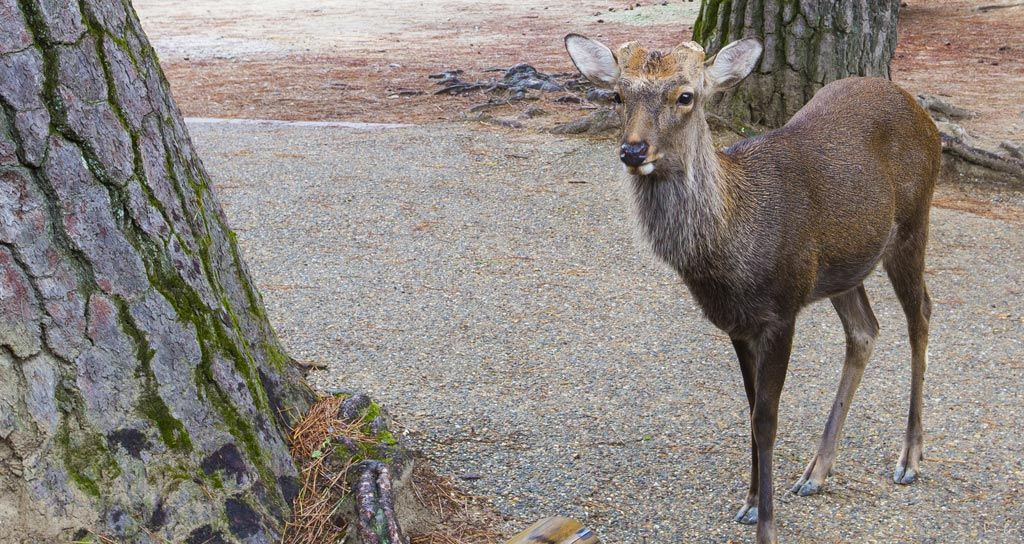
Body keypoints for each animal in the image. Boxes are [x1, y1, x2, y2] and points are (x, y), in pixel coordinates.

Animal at [565, 35, 937, 544]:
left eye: (686, 96)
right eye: (618, 95)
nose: (634, 150)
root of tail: (924, 115)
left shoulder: (782, 310)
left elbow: (767, 418)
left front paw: (766, 525)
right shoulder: (737, 324)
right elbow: (750, 407)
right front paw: (750, 502)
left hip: (913, 223)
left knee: (921, 314)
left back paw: (909, 458)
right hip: (844, 266)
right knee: (865, 330)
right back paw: (816, 471)